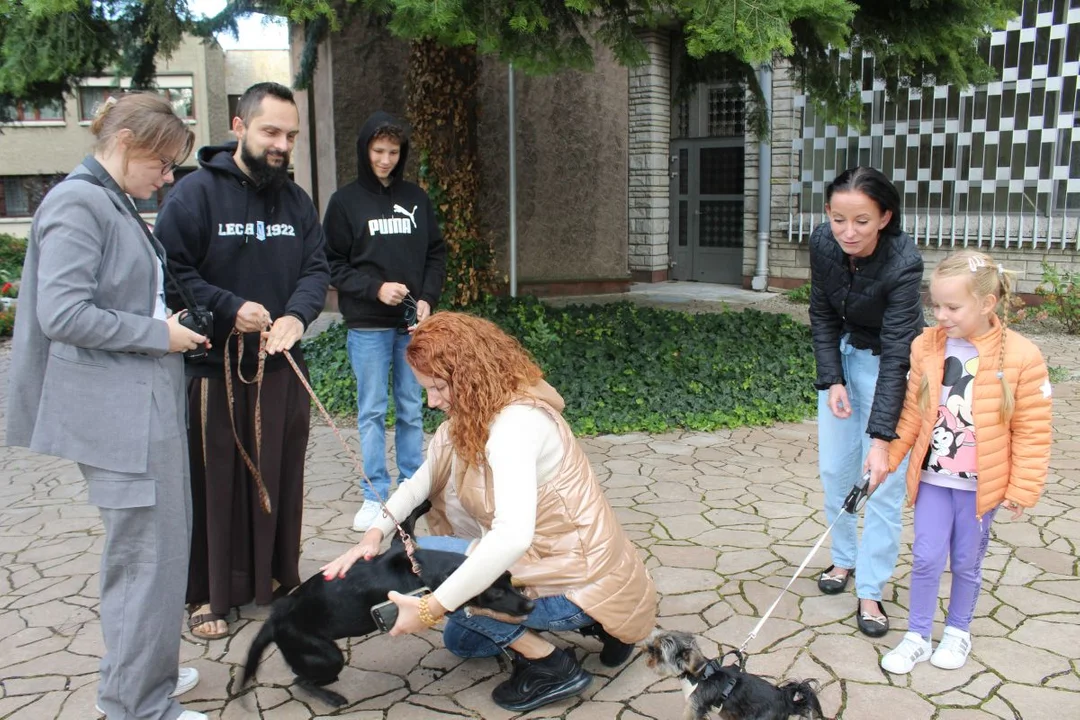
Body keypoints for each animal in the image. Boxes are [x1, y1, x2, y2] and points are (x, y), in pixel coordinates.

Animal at [241, 505, 535, 708]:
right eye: (495, 592)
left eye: (510, 577)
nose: (531, 605)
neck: (420, 568)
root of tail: (275, 617)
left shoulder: (402, 543)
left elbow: (405, 522)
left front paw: (423, 503)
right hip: (327, 655)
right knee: (300, 680)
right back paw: (331, 696)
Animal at [639, 634, 825, 720]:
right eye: (653, 642)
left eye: (658, 651)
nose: (645, 647)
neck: (698, 676)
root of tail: (786, 701)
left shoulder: (695, 707)